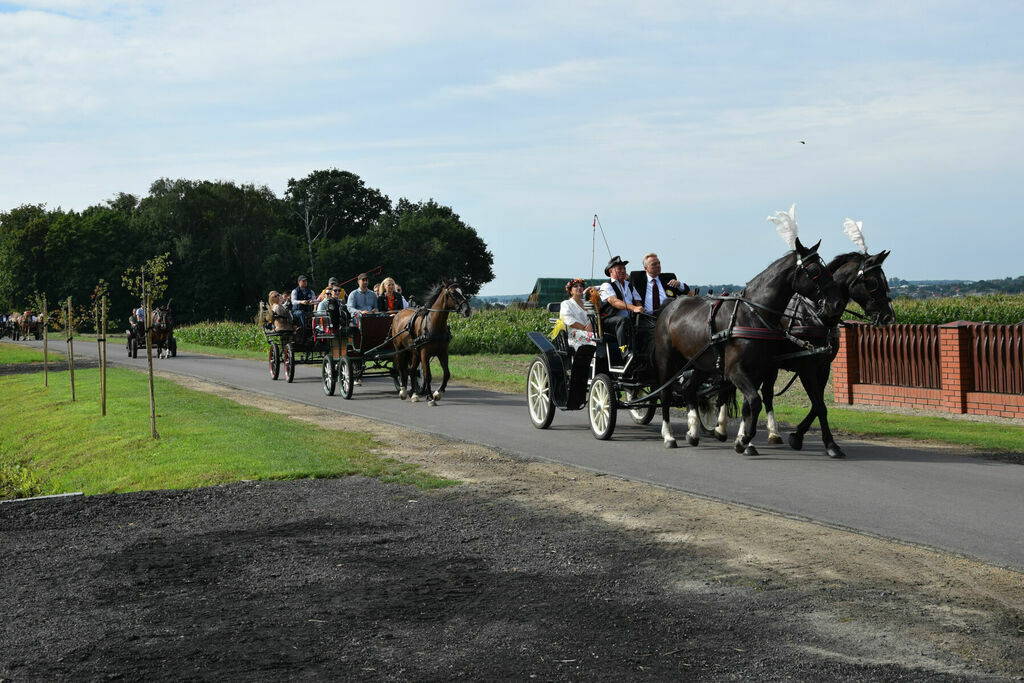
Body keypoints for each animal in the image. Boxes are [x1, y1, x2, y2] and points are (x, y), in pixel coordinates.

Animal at [651, 237, 843, 456]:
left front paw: (743, 440)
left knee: (689, 389)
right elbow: (755, 402)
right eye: (814, 270)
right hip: (667, 361)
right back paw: (669, 436)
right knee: (665, 394)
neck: (751, 315)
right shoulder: (736, 370)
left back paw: (693, 432)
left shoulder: (759, 370)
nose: (837, 304)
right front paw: (744, 440)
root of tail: (670, 306)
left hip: (702, 363)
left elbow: (749, 405)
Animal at [761, 250, 897, 458]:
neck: (815, 316)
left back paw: (773, 433)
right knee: (764, 393)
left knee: (765, 392)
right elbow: (819, 405)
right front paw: (831, 444)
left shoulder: (824, 367)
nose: (889, 317)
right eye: (873, 282)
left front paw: (798, 435)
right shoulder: (806, 368)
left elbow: (818, 404)